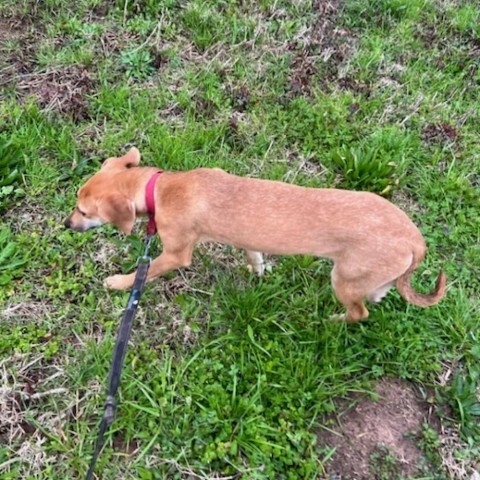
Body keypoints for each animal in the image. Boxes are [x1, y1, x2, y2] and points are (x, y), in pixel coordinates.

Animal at [63, 147, 446, 322]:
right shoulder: (245, 240)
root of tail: (416, 240)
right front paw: (257, 270)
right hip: (369, 277)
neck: (160, 188)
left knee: (359, 313)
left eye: (83, 211)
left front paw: (118, 283)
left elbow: (142, 273)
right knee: (377, 296)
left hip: (343, 281)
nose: (67, 225)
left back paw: (332, 321)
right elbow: (253, 254)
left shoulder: (175, 254)